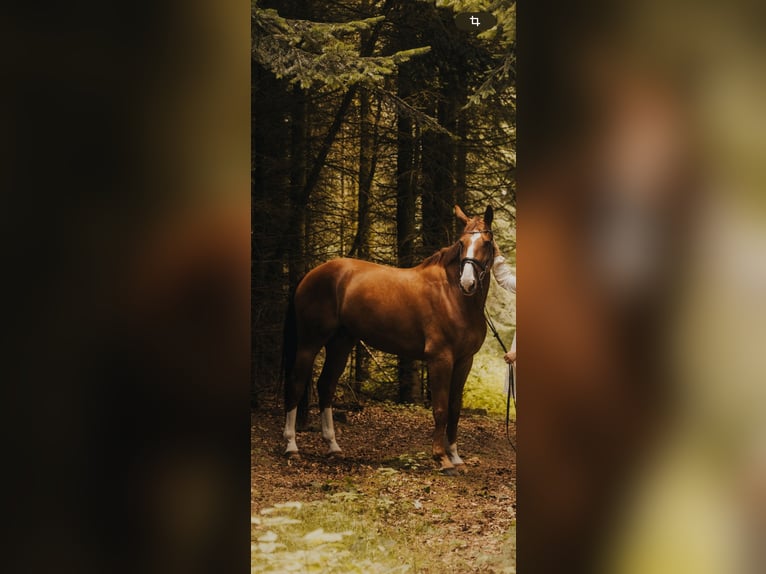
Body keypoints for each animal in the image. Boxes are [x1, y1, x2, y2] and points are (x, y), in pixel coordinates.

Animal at [282, 205, 496, 474]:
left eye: (486, 243)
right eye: (461, 243)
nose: (467, 283)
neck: (454, 296)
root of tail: (310, 274)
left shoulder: (464, 361)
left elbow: (455, 408)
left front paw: (456, 457)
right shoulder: (440, 359)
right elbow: (440, 408)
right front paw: (442, 459)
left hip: (340, 343)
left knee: (326, 386)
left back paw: (333, 446)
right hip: (309, 342)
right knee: (296, 384)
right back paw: (291, 447)